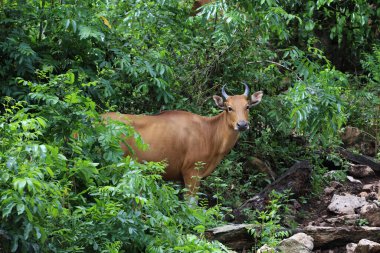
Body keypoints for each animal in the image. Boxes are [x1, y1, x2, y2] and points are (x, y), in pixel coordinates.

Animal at [101, 85, 262, 196]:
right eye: (229, 108)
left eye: (247, 106)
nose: (242, 124)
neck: (209, 133)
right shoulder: (191, 173)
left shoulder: (179, 178)